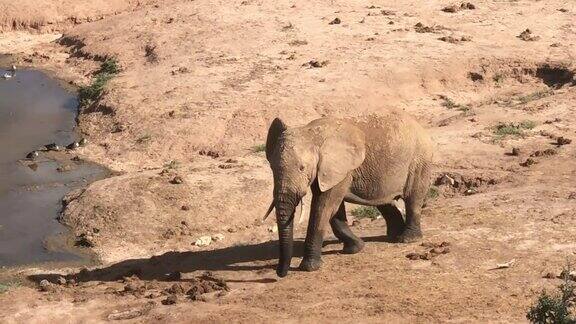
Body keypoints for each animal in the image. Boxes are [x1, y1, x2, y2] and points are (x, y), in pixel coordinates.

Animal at [264, 110, 434, 276]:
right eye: (272, 168)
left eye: (302, 168)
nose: (278, 273)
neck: (312, 133)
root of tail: (420, 126)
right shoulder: (327, 171)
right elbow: (333, 209)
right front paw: (355, 248)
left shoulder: (339, 168)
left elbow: (324, 207)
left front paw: (309, 267)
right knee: (383, 201)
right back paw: (393, 235)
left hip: (419, 160)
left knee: (413, 199)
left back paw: (407, 239)